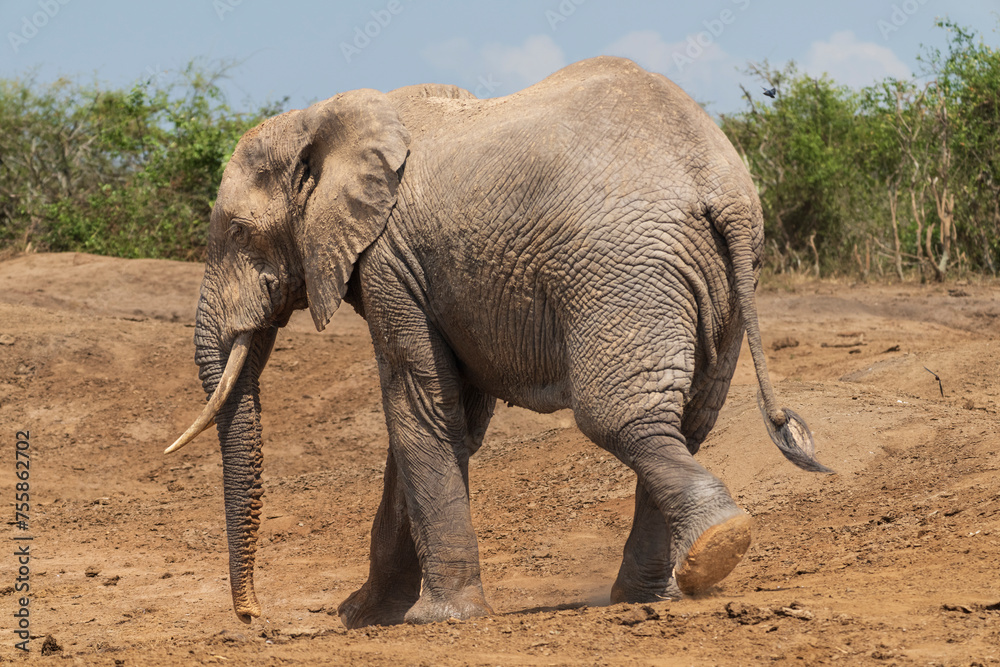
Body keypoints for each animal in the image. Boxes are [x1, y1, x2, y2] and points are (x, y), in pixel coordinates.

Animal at [166, 56, 831, 628]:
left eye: (239, 232)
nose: (254, 618)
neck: (326, 116)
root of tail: (722, 188)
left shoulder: (391, 262)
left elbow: (418, 408)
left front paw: (436, 619)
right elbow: (448, 416)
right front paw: (362, 618)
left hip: (623, 273)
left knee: (621, 419)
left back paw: (716, 547)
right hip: (716, 284)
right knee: (683, 423)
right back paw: (651, 592)